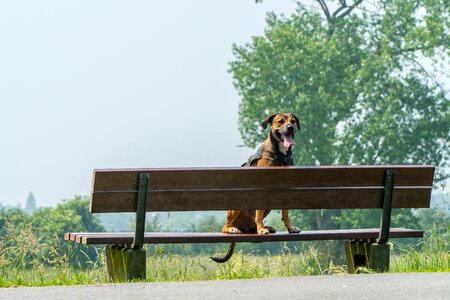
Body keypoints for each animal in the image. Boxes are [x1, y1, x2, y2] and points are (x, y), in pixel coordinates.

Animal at [212, 113, 302, 262]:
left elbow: (285, 213)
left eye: (293, 121)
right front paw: (261, 230)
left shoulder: (285, 190)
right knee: (225, 226)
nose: (290, 127)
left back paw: (264, 227)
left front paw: (290, 228)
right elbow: (258, 213)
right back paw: (234, 229)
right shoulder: (261, 188)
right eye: (280, 121)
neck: (280, 154)